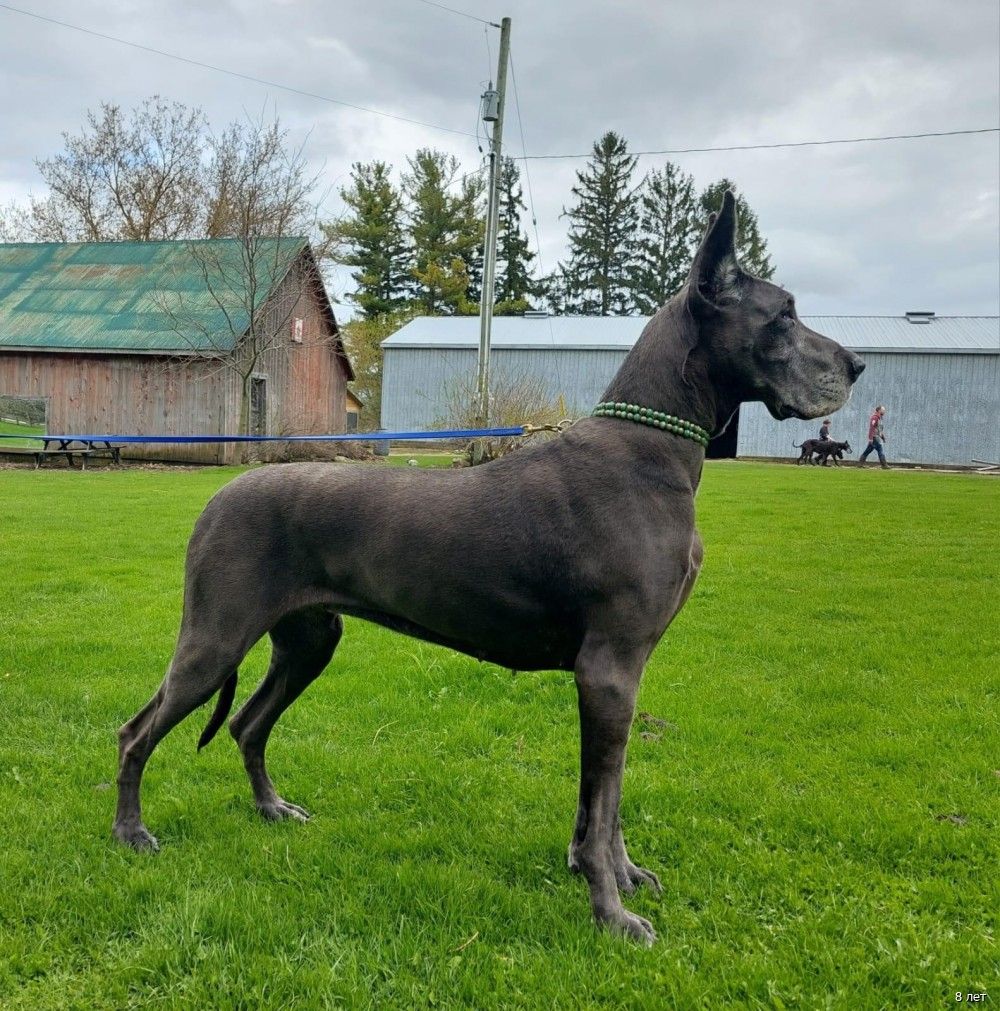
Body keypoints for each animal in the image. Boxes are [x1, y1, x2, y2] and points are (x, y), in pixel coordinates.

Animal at [113, 192, 865, 945]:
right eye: (783, 314)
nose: (856, 365)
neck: (649, 449)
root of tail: (218, 496)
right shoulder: (609, 668)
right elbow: (605, 800)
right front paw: (612, 911)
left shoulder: (619, 672)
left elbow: (606, 797)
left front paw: (614, 876)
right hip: (216, 636)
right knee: (135, 732)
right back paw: (132, 833)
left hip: (309, 641)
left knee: (246, 723)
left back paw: (272, 809)